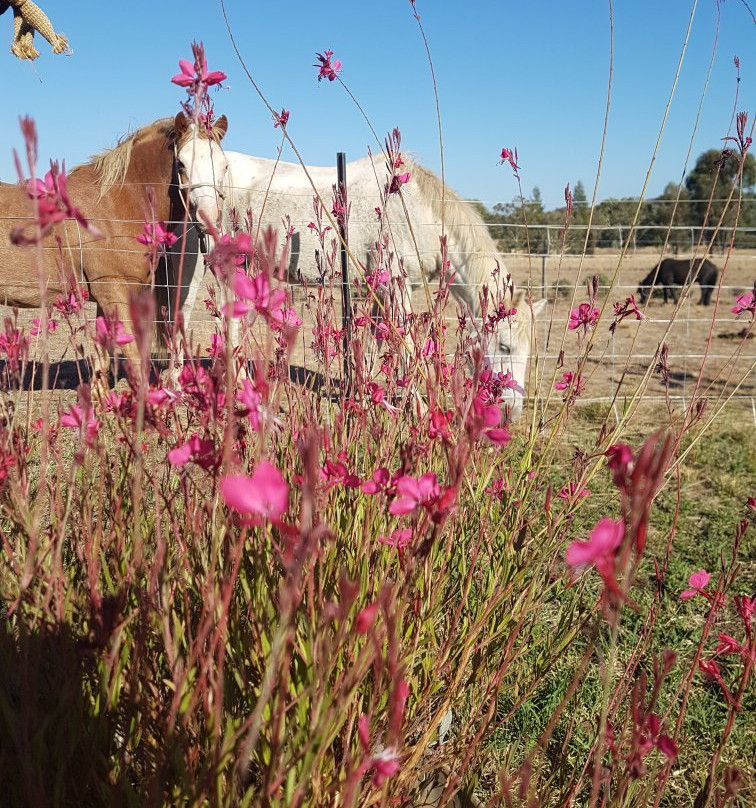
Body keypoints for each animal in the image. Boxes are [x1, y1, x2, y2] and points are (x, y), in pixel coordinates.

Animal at [0, 114, 227, 369]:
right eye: (181, 163)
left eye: (224, 165)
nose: (208, 217)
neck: (116, 203)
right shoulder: (114, 292)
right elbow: (135, 359)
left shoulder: (104, 299)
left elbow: (103, 362)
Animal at [174, 116, 547, 419]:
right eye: (505, 347)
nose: (512, 412)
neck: (413, 208)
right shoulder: (395, 287)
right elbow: (407, 344)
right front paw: (421, 409)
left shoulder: (383, 288)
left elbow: (374, 346)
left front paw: (366, 399)